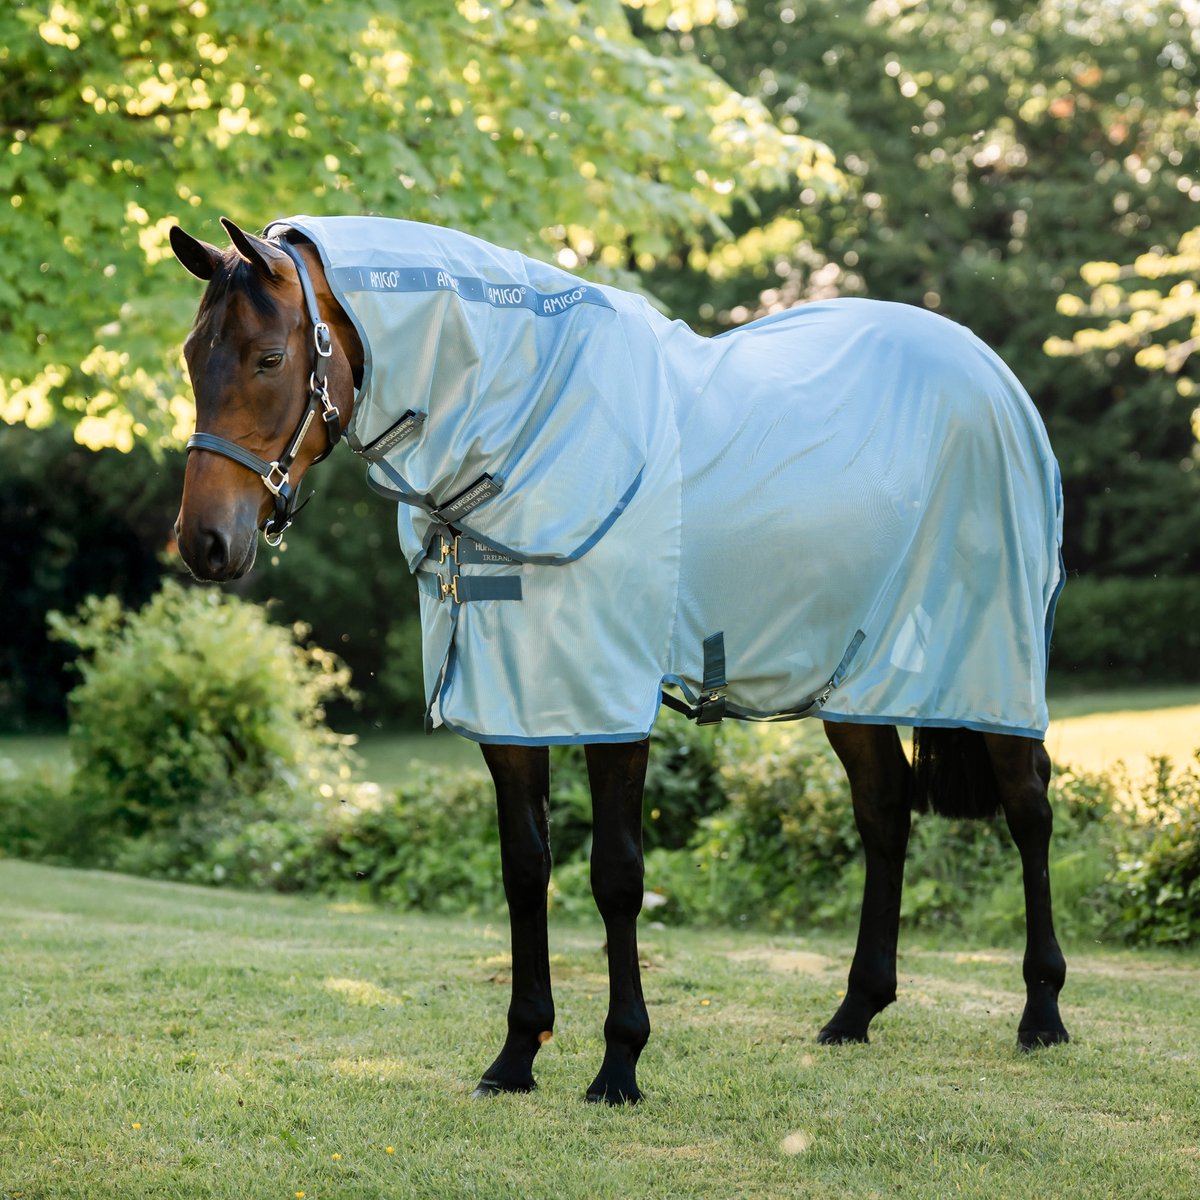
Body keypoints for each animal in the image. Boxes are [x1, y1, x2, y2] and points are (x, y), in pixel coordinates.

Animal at [169, 215, 1068, 1105]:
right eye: (190, 356)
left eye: (269, 359)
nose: (205, 543)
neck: (541, 426)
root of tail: (990, 371)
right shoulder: (511, 704)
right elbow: (525, 868)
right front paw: (516, 1055)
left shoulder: (610, 702)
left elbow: (616, 876)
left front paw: (620, 1063)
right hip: (852, 682)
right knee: (884, 810)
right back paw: (855, 1011)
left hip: (992, 666)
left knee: (1029, 810)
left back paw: (1042, 1014)